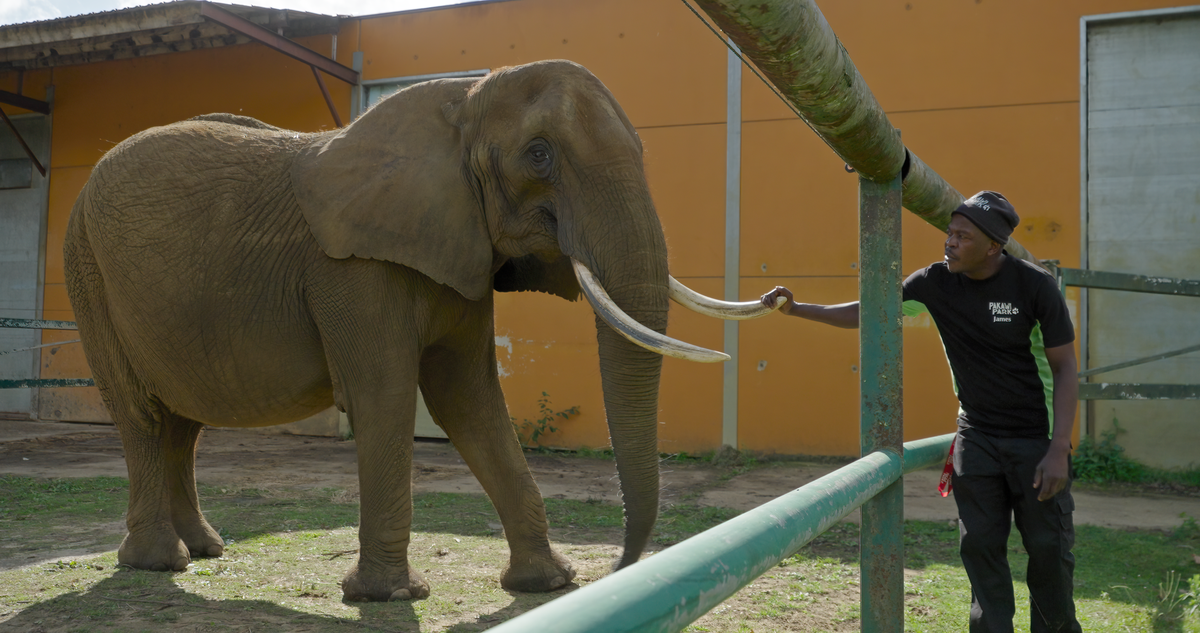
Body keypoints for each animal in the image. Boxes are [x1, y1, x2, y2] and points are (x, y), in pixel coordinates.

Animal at [63, 59, 780, 602]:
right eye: (539, 155)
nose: (617, 570)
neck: (460, 103)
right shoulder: (352, 268)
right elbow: (386, 395)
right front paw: (388, 596)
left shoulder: (460, 247)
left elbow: (470, 399)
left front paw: (546, 585)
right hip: (87, 270)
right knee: (141, 415)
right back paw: (159, 562)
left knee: (181, 420)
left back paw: (208, 550)